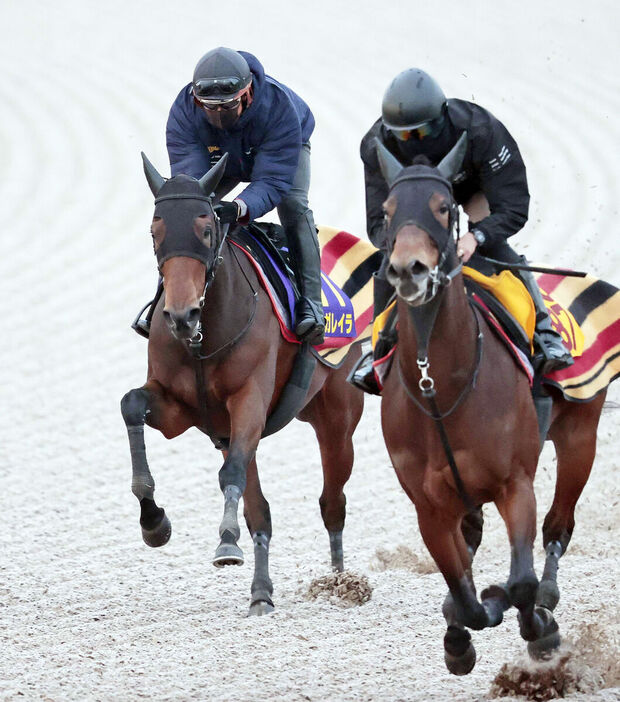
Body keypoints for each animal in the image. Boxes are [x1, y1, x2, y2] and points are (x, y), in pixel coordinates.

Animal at [121, 153, 364, 616]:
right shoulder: (177, 407)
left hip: (337, 418)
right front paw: (153, 522)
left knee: (332, 502)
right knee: (262, 512)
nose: (181, 315)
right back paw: (261, 593)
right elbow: (131, 404)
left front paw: (226, 541)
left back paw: (341, 581)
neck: (204, 337)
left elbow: (231, 471)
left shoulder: (249, 401)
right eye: (155, 232)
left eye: (205, 229)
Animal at [376, 133, 608, 676]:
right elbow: (462, 592)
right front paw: (459, 636)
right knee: (474, 541)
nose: (409, 269)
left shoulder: (514, 482)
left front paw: (539, 626)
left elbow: (519, 582)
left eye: (443, 208)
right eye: (388, 210)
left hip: (579, 436)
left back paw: (547, 596)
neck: (439, 385)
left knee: (558, 528)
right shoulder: (429, 507)